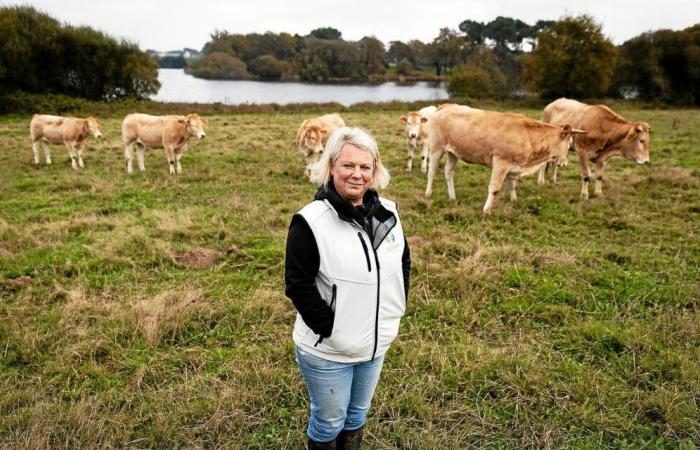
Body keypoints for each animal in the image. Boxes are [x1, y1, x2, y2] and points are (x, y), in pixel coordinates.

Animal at [426, 108, 584, 214]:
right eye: (569, 144)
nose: (564, 163)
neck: (527, 136)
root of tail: (444, 108)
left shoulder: (513, 165)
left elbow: (512, 184)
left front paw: (514, 199)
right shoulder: (501, 163)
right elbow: (494, 188)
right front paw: (486, 210)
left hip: (453, 153)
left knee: (448, 172)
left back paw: (452, 197)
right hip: (436, 148)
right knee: (432, 172)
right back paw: (428, 193)